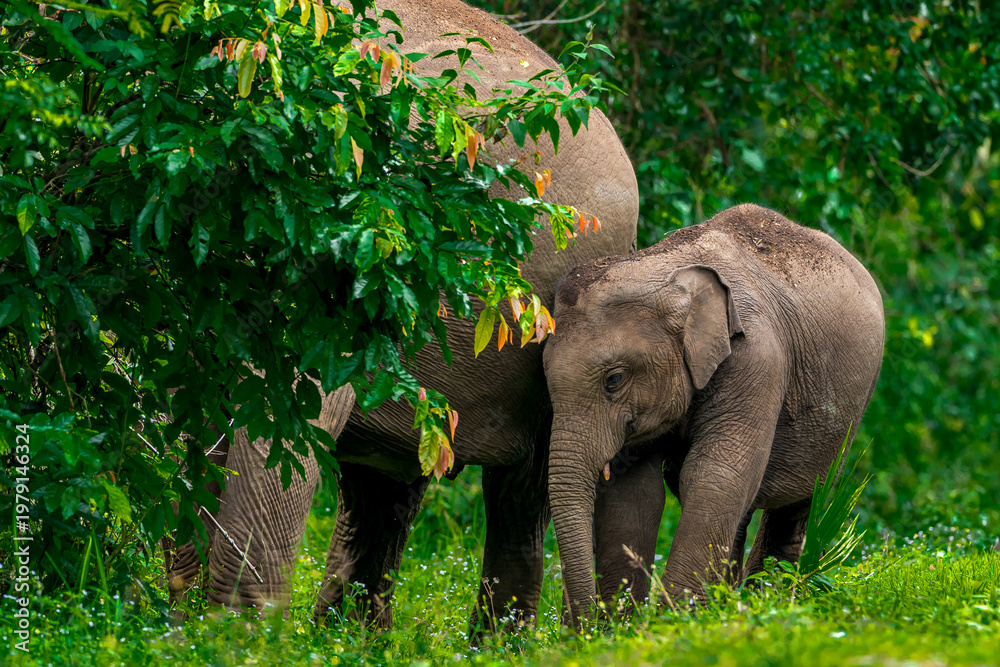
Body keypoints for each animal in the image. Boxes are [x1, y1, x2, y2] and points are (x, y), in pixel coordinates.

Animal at [542, 203, 884, 624]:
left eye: (614, 380)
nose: (580, 627)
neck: (663, 268)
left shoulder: (758, 359)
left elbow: (715, 476)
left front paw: (672, 623)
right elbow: (635, 491)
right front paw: (627, 625)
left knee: (801, 499)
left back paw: (766, 600)